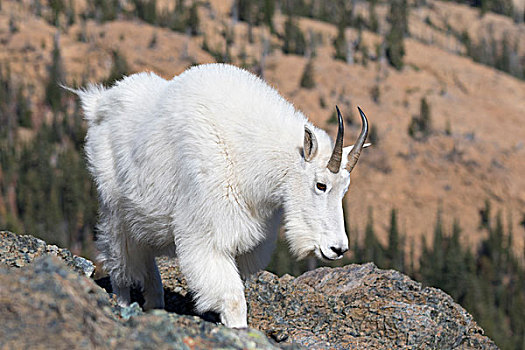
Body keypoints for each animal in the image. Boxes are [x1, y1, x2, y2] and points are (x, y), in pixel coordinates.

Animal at [70, 63, 368, 328]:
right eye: (321, 185)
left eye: (345, 188)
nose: (337, 248)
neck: (248, 152)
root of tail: (99, 103)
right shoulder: (209, 236)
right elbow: (233, 300)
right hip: (115, 209)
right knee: (119, 259)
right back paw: (122, 304)